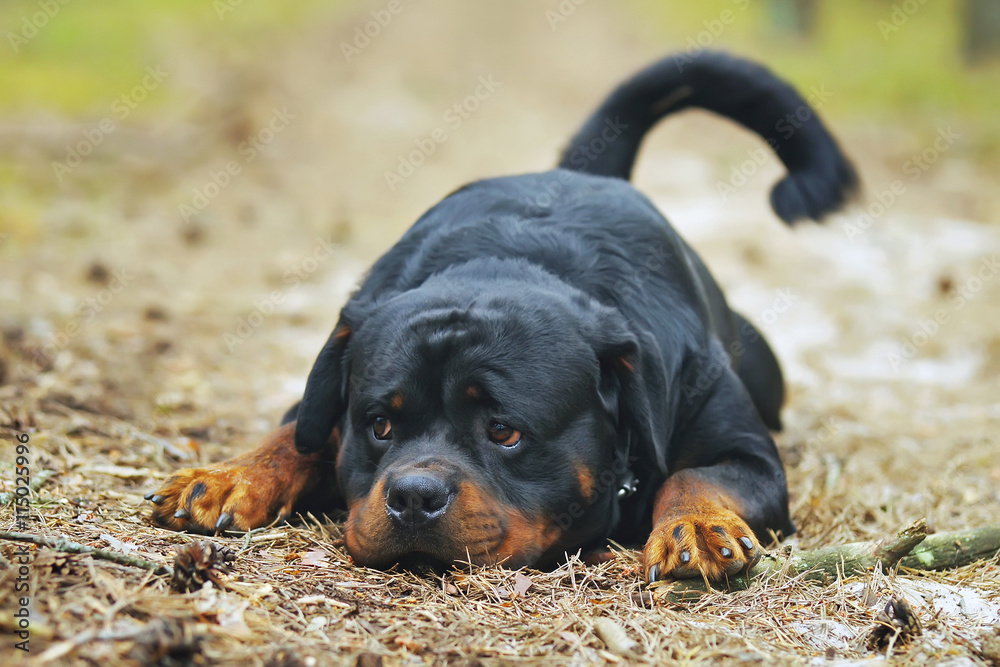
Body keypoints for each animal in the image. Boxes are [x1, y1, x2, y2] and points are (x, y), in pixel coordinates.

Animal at [145, 53, 856, 584]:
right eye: (378, 425)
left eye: (505, 432)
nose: (412, 495)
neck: (511, 264)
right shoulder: (325, 398)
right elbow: (297, 435)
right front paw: (229, 474)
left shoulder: (747, 455)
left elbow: (694, 475)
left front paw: (699, 526)